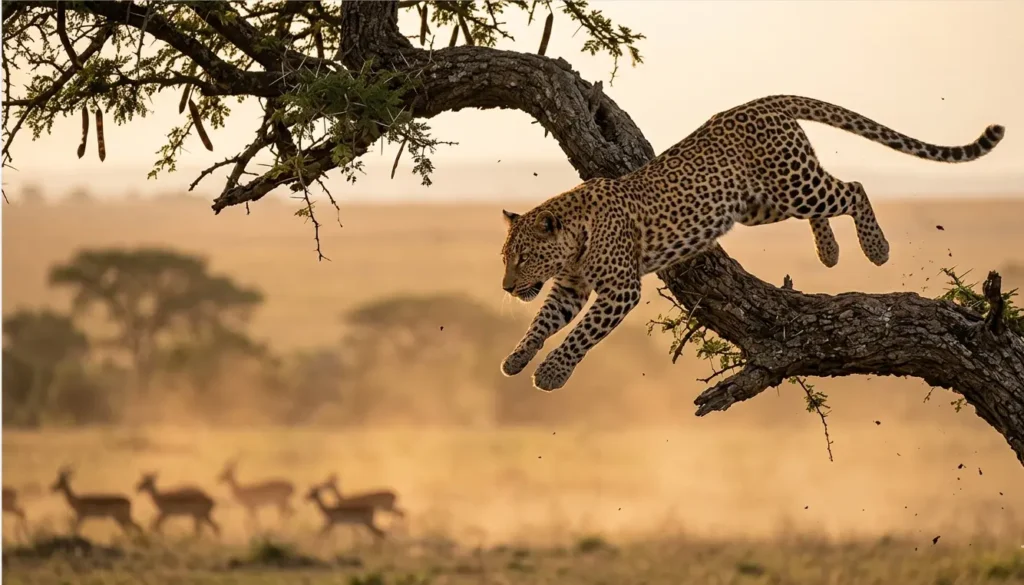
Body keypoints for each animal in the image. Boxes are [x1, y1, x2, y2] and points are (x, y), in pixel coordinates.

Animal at [498, 94, 1005, 393]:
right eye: (507, 258)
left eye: (522, 257)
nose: (505, 287)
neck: (575, 236)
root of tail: (762, 101)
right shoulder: (570, 288)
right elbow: (543, 322)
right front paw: (517, 358)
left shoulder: (620, 289)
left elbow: (582, 332)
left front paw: (552, 372)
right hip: (763, 203)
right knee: (827, 202)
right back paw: (830, 252)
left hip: (791, 184)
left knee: (853, 188)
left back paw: (875, 249)